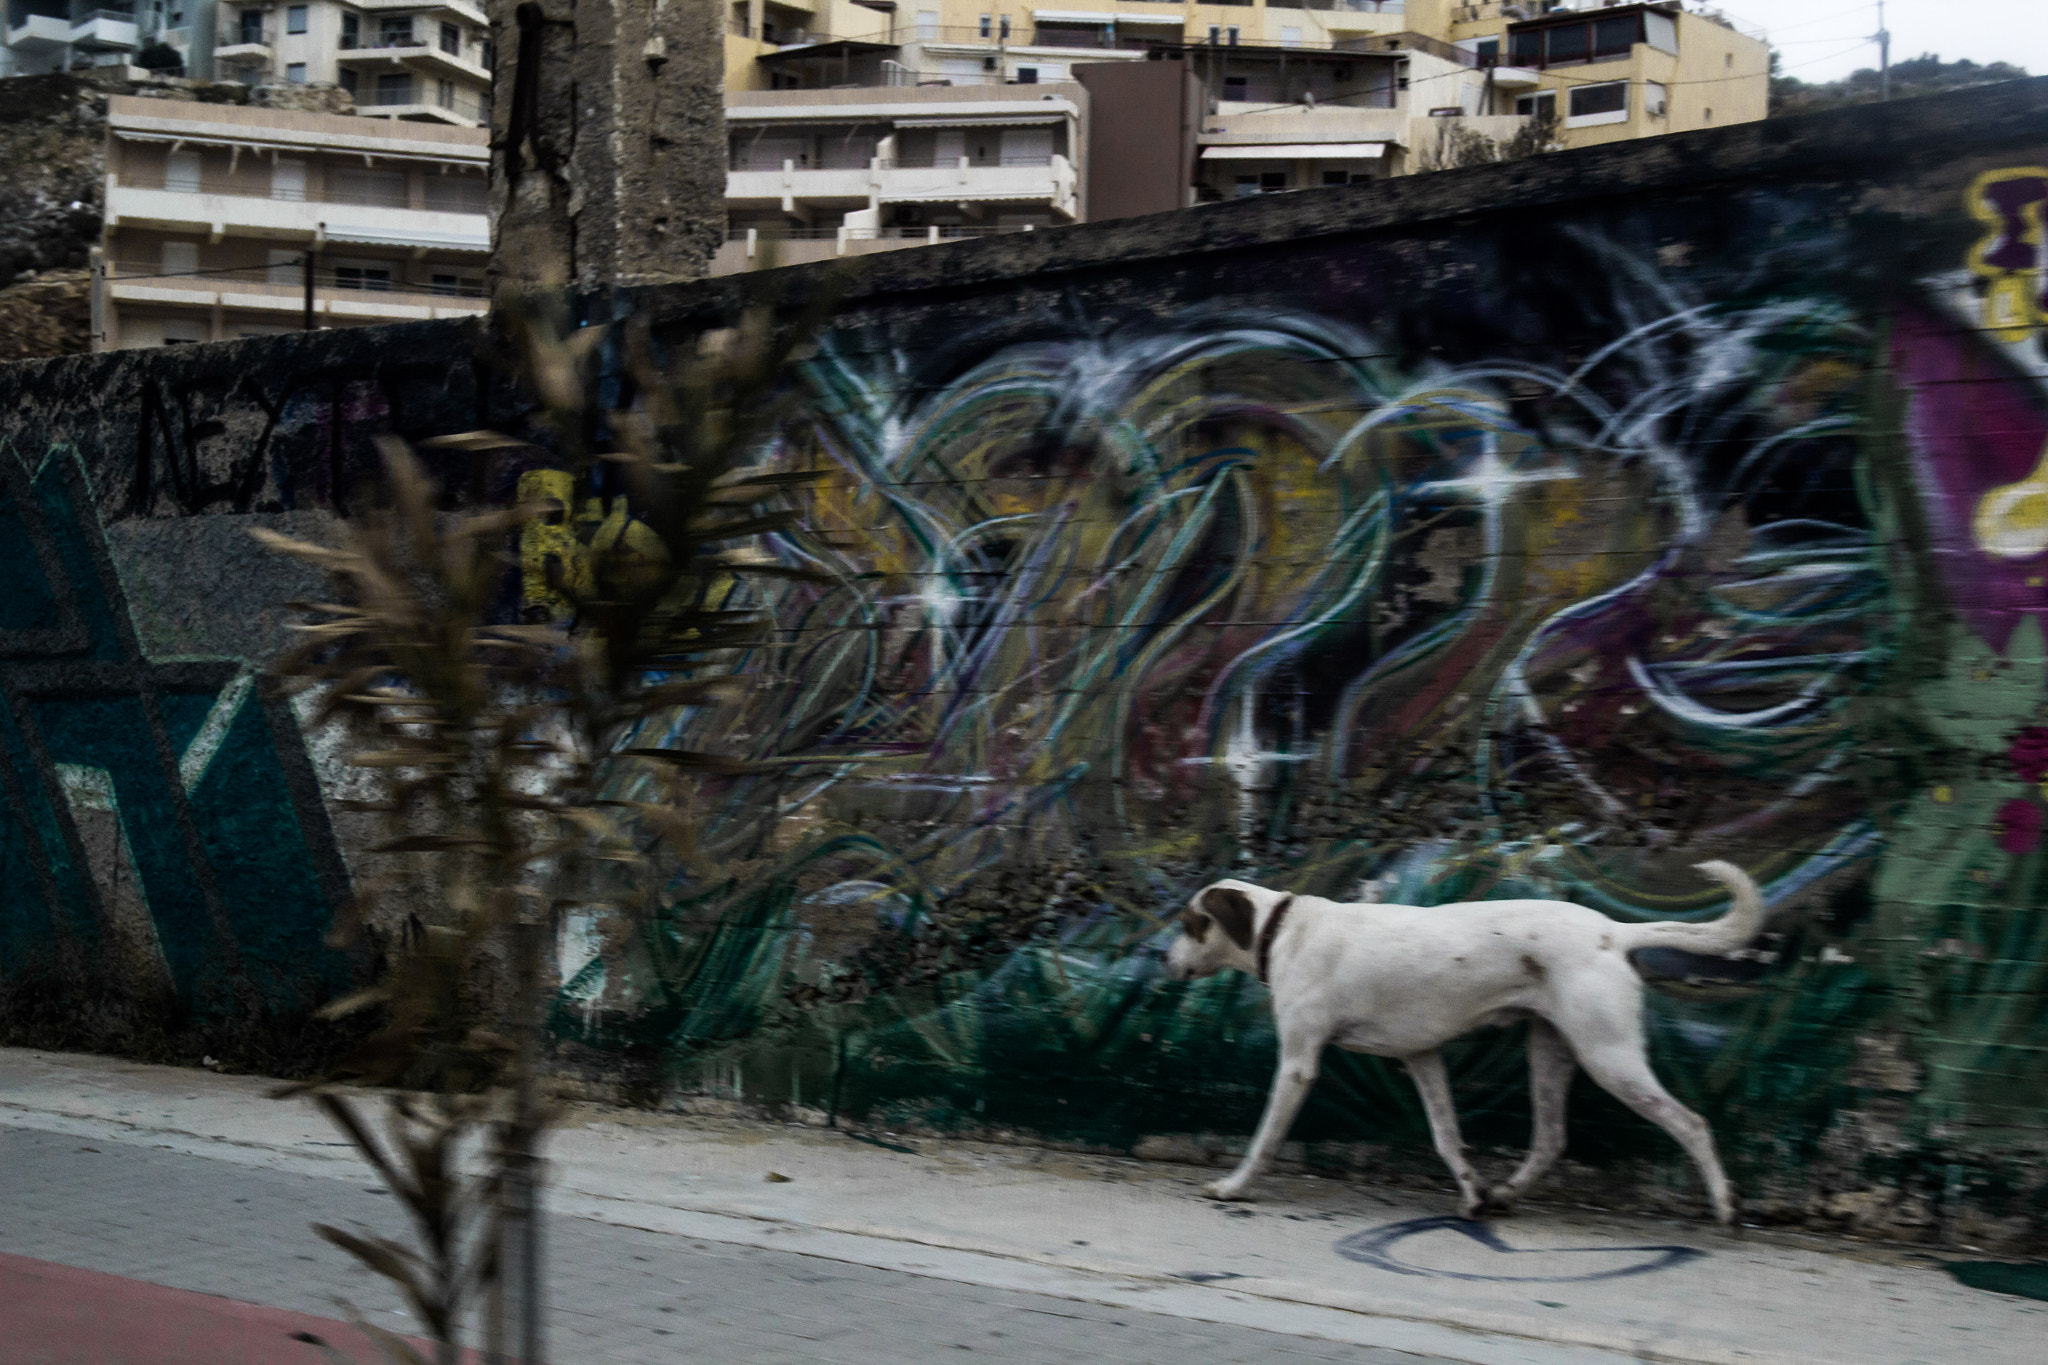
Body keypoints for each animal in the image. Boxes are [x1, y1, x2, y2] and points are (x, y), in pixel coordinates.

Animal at [1163, 863, 1769, 1227]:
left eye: (1191, 923)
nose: (1166, 963)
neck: (1280, 929)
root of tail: (1613, 932)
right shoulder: (1421, 1056)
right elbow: (1447, 1138)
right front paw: (1474, 1193)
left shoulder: (1298, 1064)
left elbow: (1264, 1138)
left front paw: (1234, 1186)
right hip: (1551, 1053)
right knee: (1550, 1139)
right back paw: (1505, 1194)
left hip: (1610, 1057)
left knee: (1692, 1123)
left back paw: (1725, 1205)